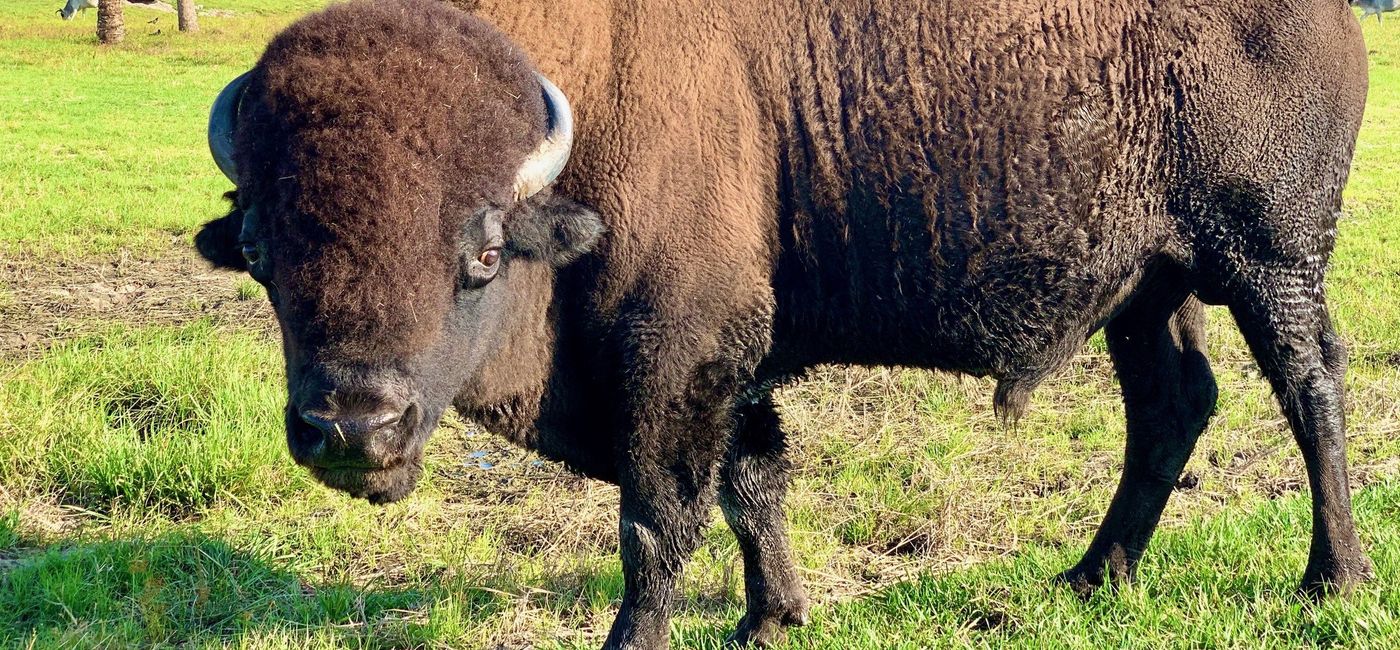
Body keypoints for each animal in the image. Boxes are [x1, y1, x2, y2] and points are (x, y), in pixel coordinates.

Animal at [194, 0, 1373, 647]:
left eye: (480, 251)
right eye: (259, 252)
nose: (354, 428)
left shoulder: (675, 355)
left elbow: (657, 519)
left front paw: (639, 640)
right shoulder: (730, 364)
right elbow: (750, 484)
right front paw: (772, 617)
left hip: (1267, 256)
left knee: (1307, 382)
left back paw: (1332, 578)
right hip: (1148, 287)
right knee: (1173, 403)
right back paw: (1091, 576)